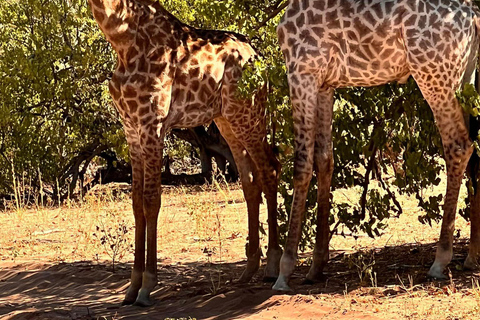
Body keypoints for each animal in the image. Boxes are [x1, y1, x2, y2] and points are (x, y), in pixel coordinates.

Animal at [86, 0, 284, 304]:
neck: (121, 40)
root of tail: (258, 58)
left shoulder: (153, 123)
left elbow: (151, 200)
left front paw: (147, 286)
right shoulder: (130, 127)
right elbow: (136, 203)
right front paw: (131, 287)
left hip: (248, 114)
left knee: (270, 168)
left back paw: (272, 266)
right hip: (226, 118)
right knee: (250, 180)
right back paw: (248, 270)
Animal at [274, 0, 480, 292]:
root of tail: (473, 16)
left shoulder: (302, 71)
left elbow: (302, 165)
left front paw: (285, 270)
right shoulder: (325, 83)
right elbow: (325, 159)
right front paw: (316, 266)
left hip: (434, 76)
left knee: (459, 146)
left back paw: (440, 260)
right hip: (464, 76)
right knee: (474, 148)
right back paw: (472, 255)